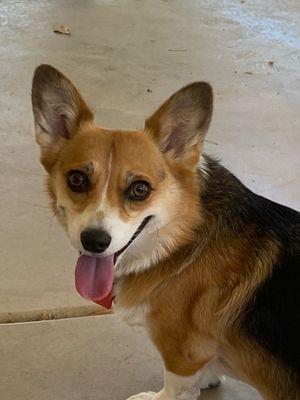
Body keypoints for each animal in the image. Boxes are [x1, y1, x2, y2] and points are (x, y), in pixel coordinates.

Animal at [31, 64, 298, 398]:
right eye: (77, 179)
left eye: (140, 189)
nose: (94, 241)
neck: (181, 237)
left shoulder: (183, 355)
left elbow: (173, 388)